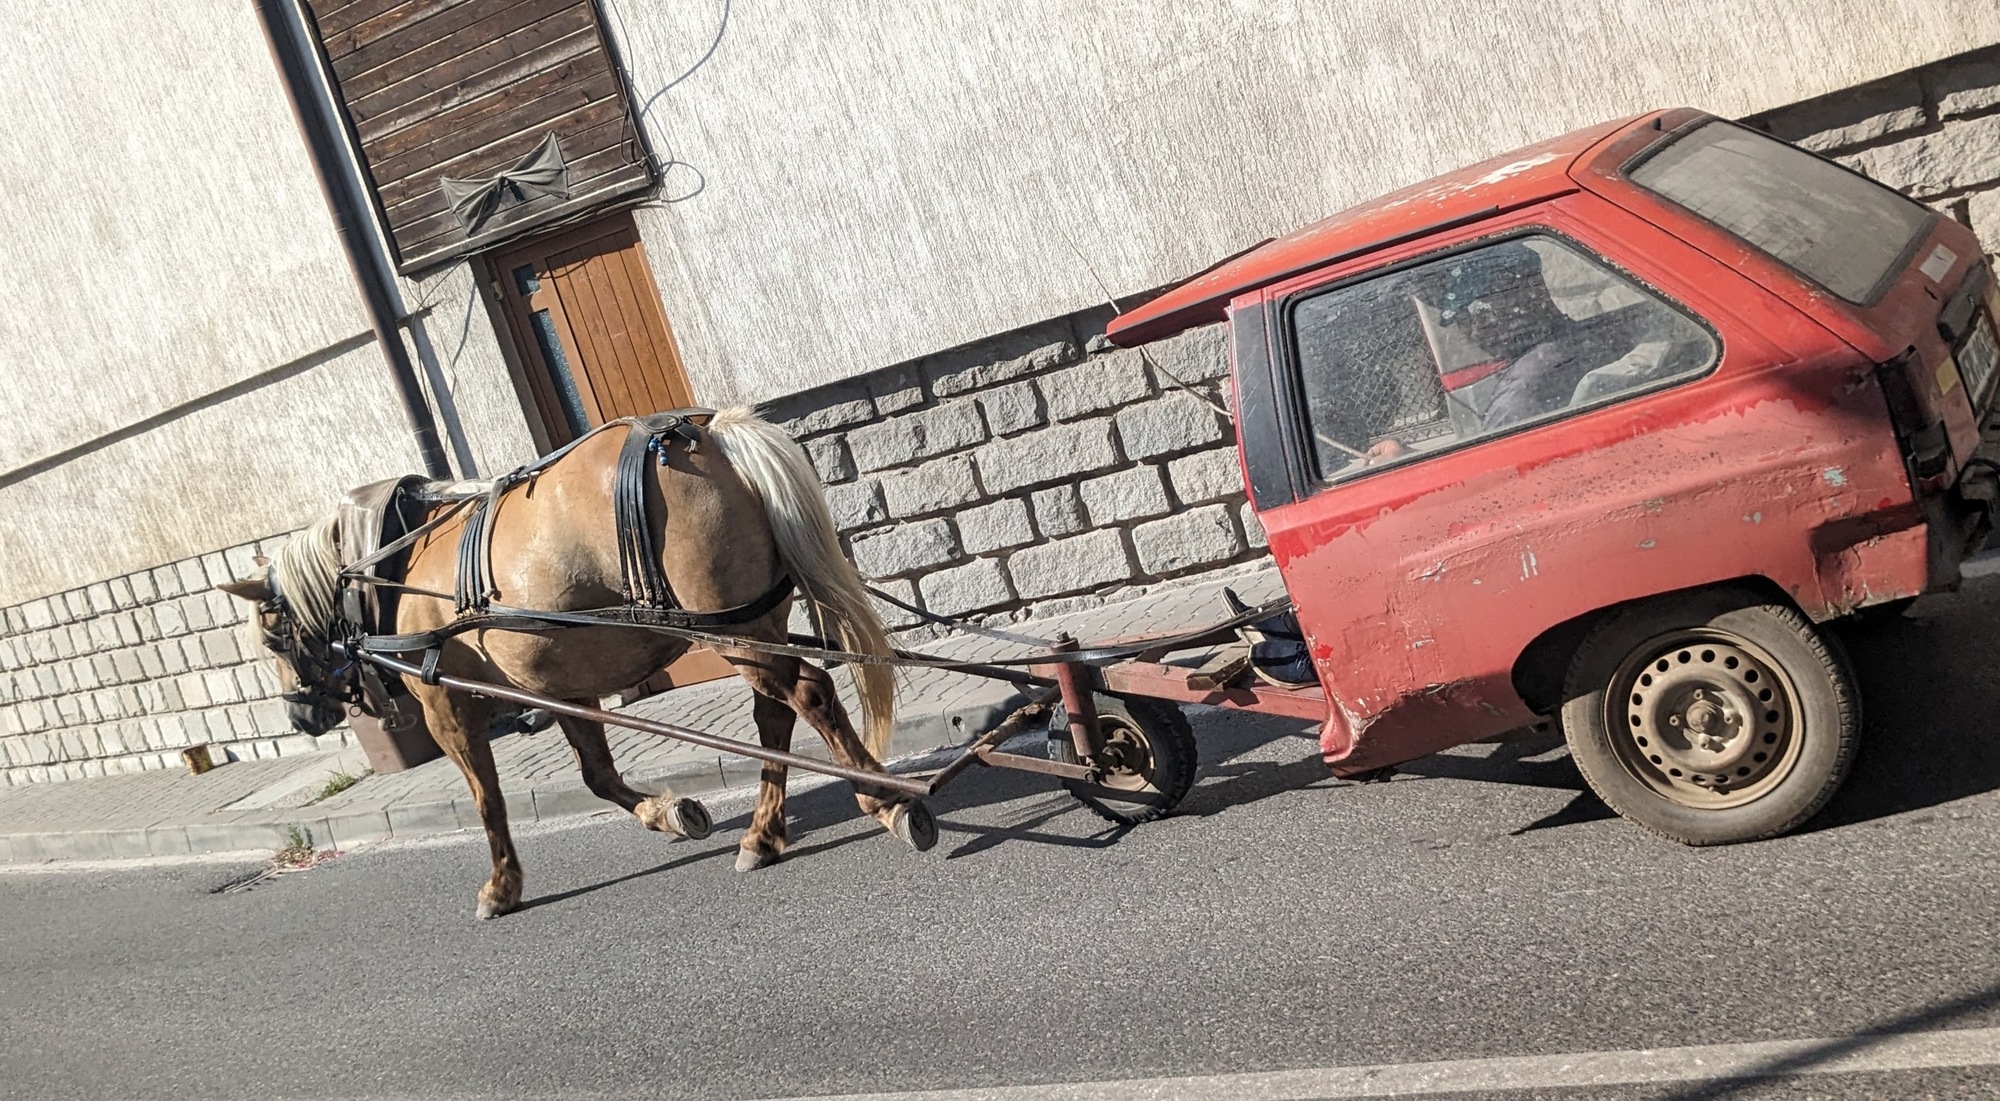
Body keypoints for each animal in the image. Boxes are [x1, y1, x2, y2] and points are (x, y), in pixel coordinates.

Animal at [219, 410, 936, 920]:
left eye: (272, 637)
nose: (300, 715)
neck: (392, 564)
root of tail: (711, 435)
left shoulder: (446, 702)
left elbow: (486, 797)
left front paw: (501, 885)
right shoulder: (563, 684)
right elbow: (596, 774)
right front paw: (670, 811)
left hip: (739, 636)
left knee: (809, 694)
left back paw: (885, 801)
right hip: (754, 627)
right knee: (775, 716)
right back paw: (763, 835)